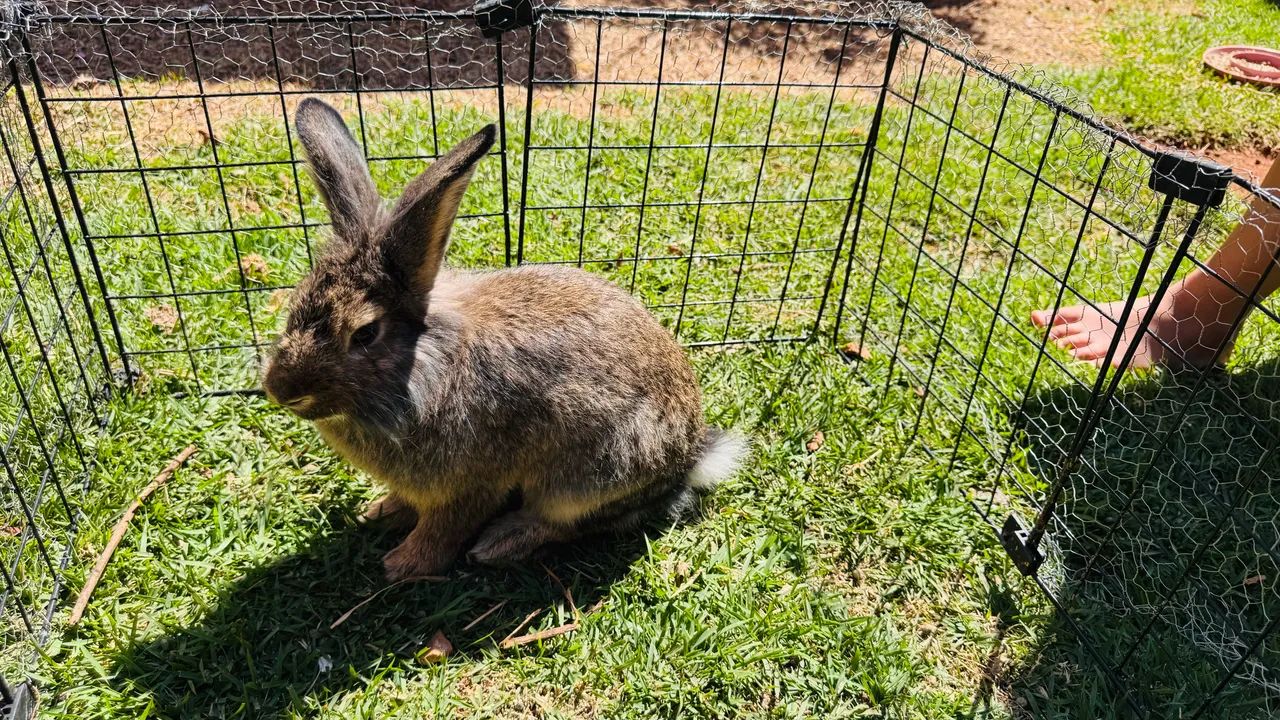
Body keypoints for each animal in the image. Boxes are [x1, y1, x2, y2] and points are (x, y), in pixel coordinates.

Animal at [262, 98, 747, 580]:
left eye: (365, 334)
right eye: (296, 302)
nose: (280, 390)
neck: (424, 368)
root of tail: (690, 460)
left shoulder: (470, 483)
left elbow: (444, 529)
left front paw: (403, 565)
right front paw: (379, 511)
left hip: (588, 476)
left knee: (568, 522)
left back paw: (501, 542)